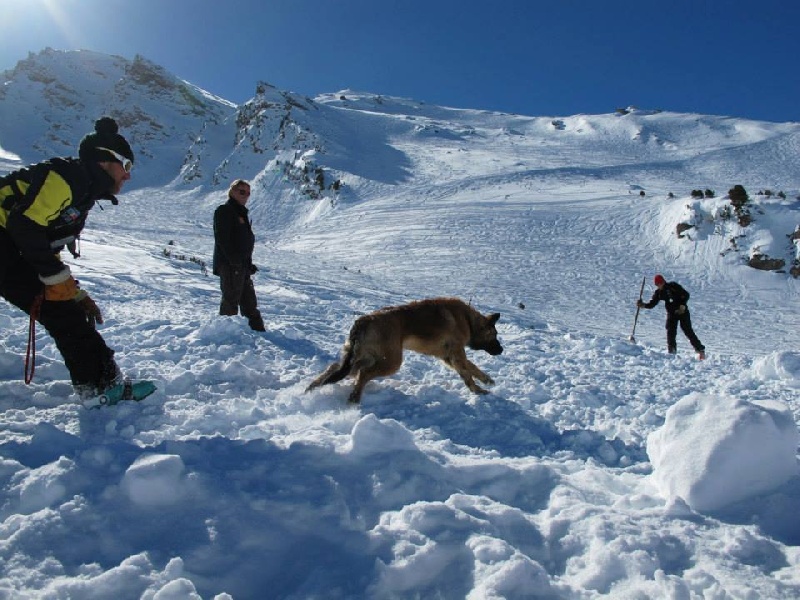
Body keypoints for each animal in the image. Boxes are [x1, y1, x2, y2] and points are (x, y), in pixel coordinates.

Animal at [304, 298, 500, 406]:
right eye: (495, 335)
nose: (501, 350)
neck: (468, 320)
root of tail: (363, 321)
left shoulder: (448, 357)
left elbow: (472, 368)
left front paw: (487, 380)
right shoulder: (457, 353)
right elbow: (467, 373)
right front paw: (478, 390)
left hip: (362, 358)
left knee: (334, 369)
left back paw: (311, 389)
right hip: (391, 362)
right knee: (363, 374)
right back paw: (353, 399)